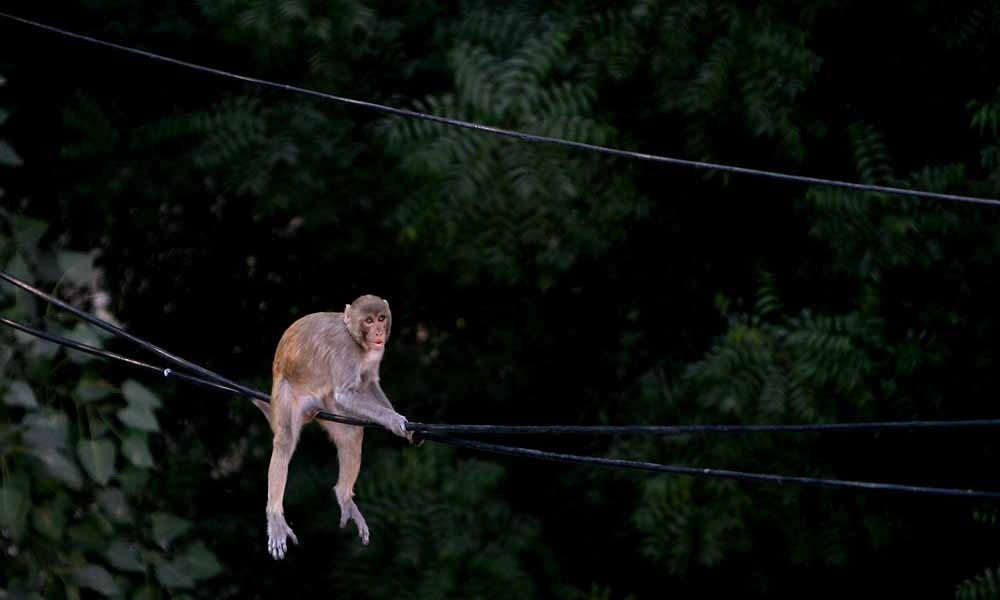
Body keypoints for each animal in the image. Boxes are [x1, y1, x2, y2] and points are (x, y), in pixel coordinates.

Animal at [256, 294, 416, 556]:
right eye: (369, 321)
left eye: (381, 318)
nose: (379, 331)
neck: (356, 339)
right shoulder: (346, 351)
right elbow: (346, 395)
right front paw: (395, 420)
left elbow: (369, 383)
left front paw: (405, 426)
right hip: (286, 395)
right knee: (285, 440)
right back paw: (275, 515)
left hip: (326, 402)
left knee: (351, 434)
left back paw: (344, 495)